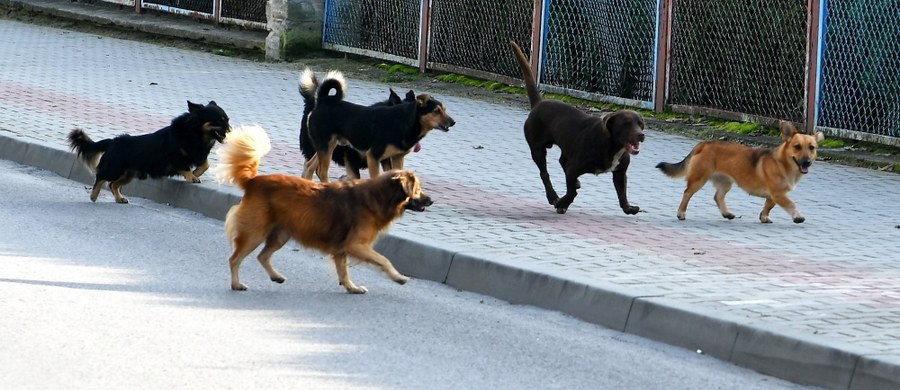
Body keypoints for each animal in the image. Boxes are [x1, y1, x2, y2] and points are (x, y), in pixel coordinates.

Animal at [69, 100, 230, 204]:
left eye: (227, 120)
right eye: (220, 121)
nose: (230, 130)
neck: (194, 133)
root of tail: (113, 141)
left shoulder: (199, 155)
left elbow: (205, 164)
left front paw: (196, 173)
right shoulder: (175, 156)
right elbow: (184, 166)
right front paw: (192, 176)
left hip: (128, 174)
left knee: (113, 185)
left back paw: (119, 198)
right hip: (114, 169)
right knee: (101, 177)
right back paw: (94, 195)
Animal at [214, 125, 432, 292]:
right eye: (418, 189)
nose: (430, 201)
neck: (378, 196)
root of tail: (254, 180)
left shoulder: (342, 247)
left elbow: (343, 270)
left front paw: (351, 287)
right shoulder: (356, 245)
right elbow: (384, 260)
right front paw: (398, 277)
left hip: (281, 233)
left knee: (262, 256)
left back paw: (276, 276)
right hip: (255, 232)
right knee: (235, 259)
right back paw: (236, 284)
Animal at [300, 66, 458, 181]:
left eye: (444, 110)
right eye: (436, 111)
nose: (453, 122)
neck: (404, 121)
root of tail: (323, 100)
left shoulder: (396, 158)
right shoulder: (373, 157)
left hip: (328, 146)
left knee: (309, 166)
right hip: (326, 146)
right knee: (321, 171)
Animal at [510, 41, 644, 215]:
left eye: (640, 124)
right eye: (626, 124)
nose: (641, 135)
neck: (612, 146)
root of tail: (539, 103)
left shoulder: (620, 172)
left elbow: (622, 191)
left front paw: (628, 208)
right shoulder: (574, 168)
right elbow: (572, 191)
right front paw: (562, 203)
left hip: (566, 146)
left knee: (562, 161)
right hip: (537, 149)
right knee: (544, 173)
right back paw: (553, 196)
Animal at [652, 120, 824, 224]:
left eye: (812, 148)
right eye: (797, 147)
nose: (807, 162)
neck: (783, 163)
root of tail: (703, 144)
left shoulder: (774, 195)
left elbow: (768, 206)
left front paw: (764, 217)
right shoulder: (778, 194)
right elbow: (791, 204)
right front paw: (797, 216)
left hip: (726, 182)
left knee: (718, 197)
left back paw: (726, 213)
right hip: (699, 179)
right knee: (687, 193)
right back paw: (681, 213)